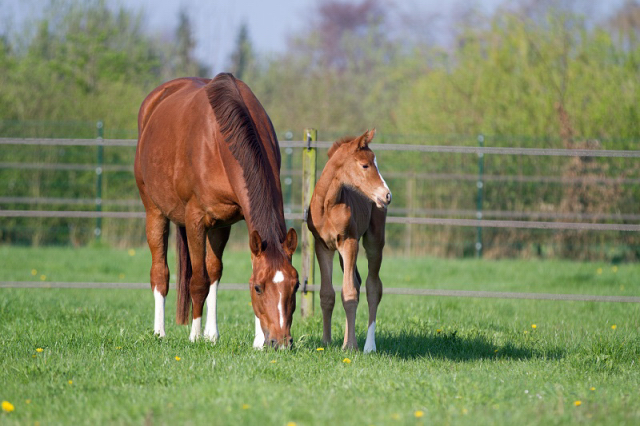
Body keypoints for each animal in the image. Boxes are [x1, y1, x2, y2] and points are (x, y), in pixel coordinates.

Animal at [135, 73, 300, 350]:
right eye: (258, 288)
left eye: (296, 286)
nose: (280, 342)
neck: (219, 140)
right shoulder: (195, 220)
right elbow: (198, 281)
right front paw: (194, 336)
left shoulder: (231, 221)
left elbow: (216, 274)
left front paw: (257, 341)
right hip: (154, 211)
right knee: (160, 273)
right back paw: (160, 333)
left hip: (218, 226)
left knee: (213, 271)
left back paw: (212, 334)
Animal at [306, 130, 390, 352]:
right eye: (365, 165)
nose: (387, 195)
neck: (327, 204)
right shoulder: (322, 246)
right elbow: (327, 294)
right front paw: (326, 342)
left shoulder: (349, 242)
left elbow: (349, 293)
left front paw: (351, 346)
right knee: (358, 283)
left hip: (373, 241)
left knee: (373, 287)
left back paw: (369, 346)